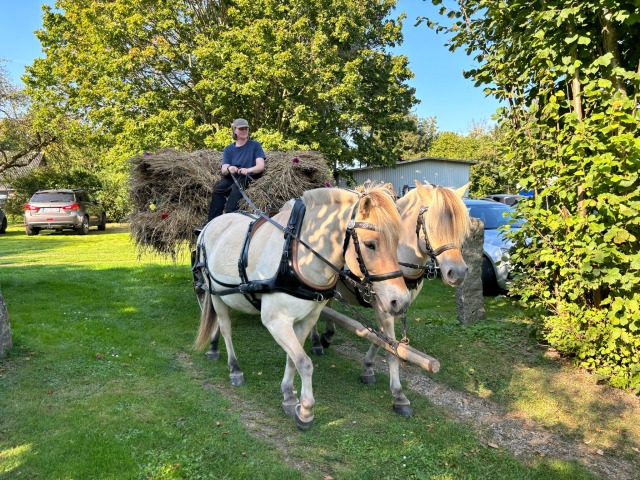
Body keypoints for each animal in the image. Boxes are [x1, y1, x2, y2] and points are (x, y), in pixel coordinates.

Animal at [192, 185, 410, 432]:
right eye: (370, 244)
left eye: (397, 242)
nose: (400, 301)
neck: (297, 254)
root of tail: (210, 224)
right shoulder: (275, 321)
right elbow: (305, 363)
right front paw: (305, 411)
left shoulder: (307, 319)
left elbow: (293, 358)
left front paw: (288, 396)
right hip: (214, 292)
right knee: (226, 327)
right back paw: (234, 368)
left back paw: (213, 348)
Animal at [310, 180, 470, 416]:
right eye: (431, 227)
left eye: (461, 229)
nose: (457, 273)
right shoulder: (383, 305)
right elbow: (391, 345)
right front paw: (399, 396)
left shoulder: (395, 305)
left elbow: (381, 339)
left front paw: (367, 369)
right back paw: (316, 342)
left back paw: (327, 335)